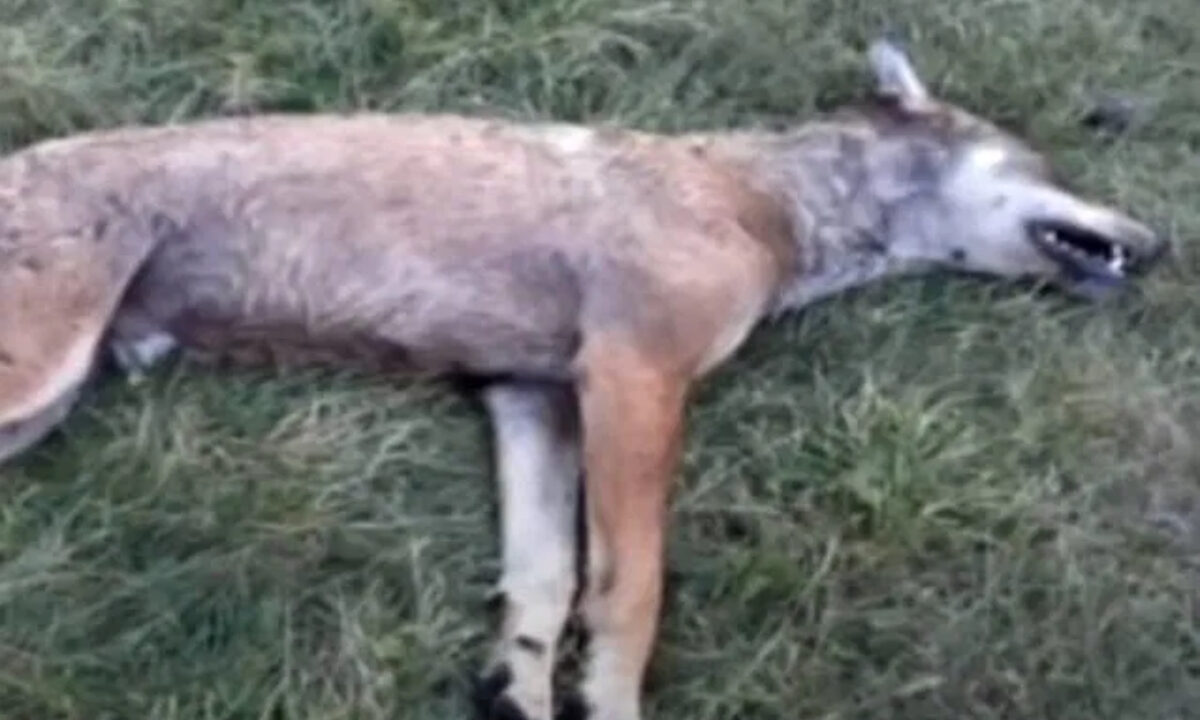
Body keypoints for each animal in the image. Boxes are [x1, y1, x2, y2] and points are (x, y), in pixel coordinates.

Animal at [0, 40, 1168, 720]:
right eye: (1044, 166)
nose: (1159, 245)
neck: (760, 200)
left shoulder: (532, 399)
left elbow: (543, 580)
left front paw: (516, 690)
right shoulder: (633, 377)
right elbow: (629, 589)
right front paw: (605, 703)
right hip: (36, 381)